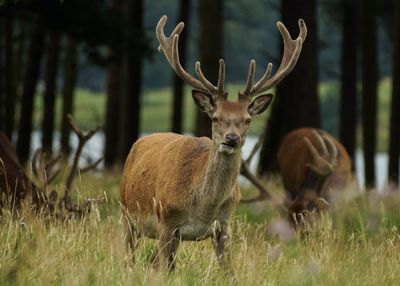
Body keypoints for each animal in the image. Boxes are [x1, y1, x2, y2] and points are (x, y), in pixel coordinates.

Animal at [120, 15, 308, 270]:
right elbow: (163, 270)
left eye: (247, 119)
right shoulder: (166, 221)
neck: (202, 208)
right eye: (216, 117)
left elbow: (228, 270)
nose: (232, 139)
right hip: (126, 214)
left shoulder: (225, 226)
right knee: (130, 256)